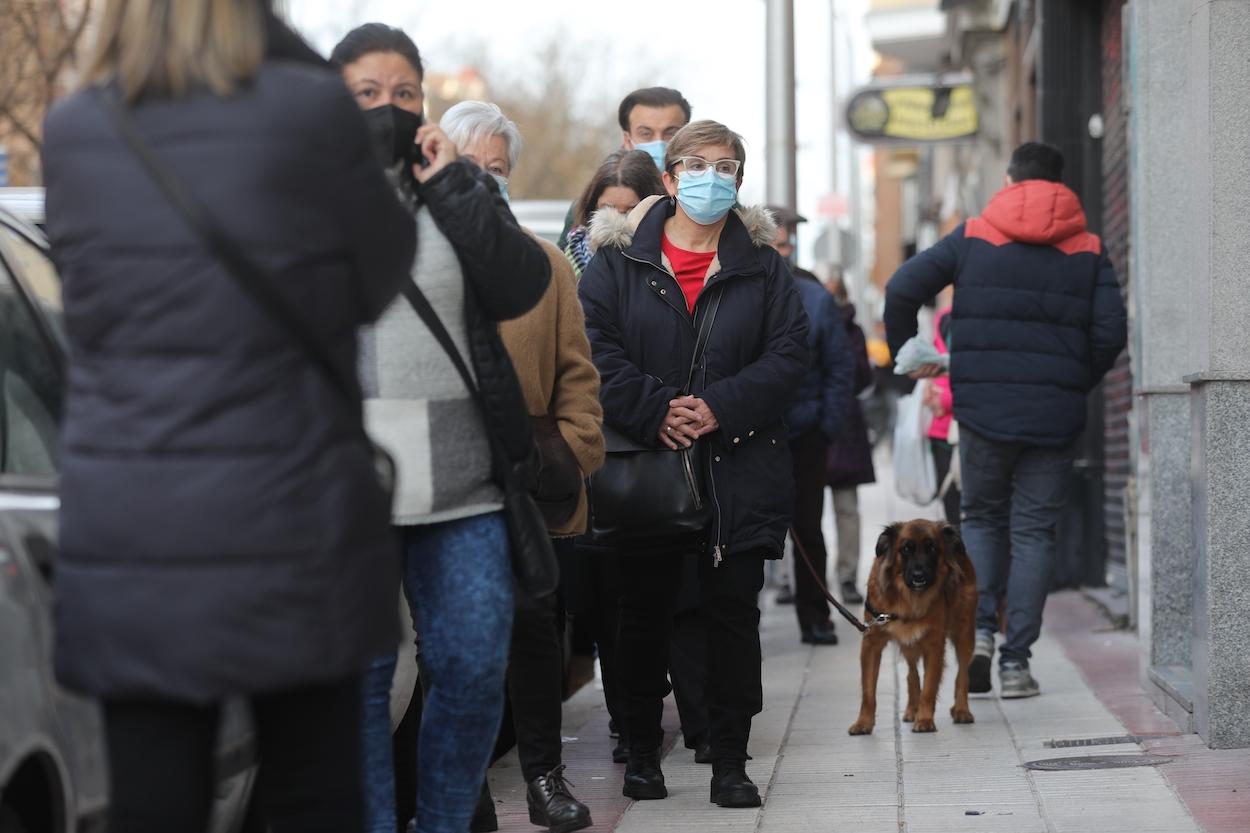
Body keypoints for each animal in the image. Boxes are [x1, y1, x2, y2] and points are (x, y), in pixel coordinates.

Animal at [845, 520, 980, 735]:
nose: (919, 576)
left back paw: (961, 710)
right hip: (910, 644)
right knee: (911, 673)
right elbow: (868, 691)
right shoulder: (871, 644)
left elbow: (930, 687)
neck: (907, 599)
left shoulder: (934, 646)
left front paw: (924, 719)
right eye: (906, 549)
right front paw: (863, 723)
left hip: (964, 633)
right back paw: (911, 709)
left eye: (932, 549)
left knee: (962, 673)